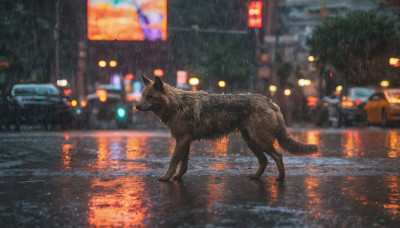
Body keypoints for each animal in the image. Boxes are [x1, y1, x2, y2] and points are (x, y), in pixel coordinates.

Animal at [136, 76, 318, 182]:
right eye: (143, 96)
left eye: (150, 97)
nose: (136, 107)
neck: (177, 104)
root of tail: (270, 102)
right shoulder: (185, 141)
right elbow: (183, 164)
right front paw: (178, 177)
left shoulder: (182, 141)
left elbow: (173, 161)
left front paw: (166, 177)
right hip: (251, 142)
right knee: (264, 161)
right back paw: (255, 176)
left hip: (260, 142)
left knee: (278, 156)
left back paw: (281, 177)